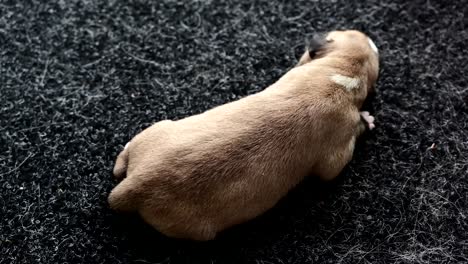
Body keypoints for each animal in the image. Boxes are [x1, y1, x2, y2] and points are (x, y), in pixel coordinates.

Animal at [109, 29, 380, 240]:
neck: (345, 71)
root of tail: (136, 183)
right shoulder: (337, 149)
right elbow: (332, 168)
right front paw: (366, 119)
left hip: (158, 129)